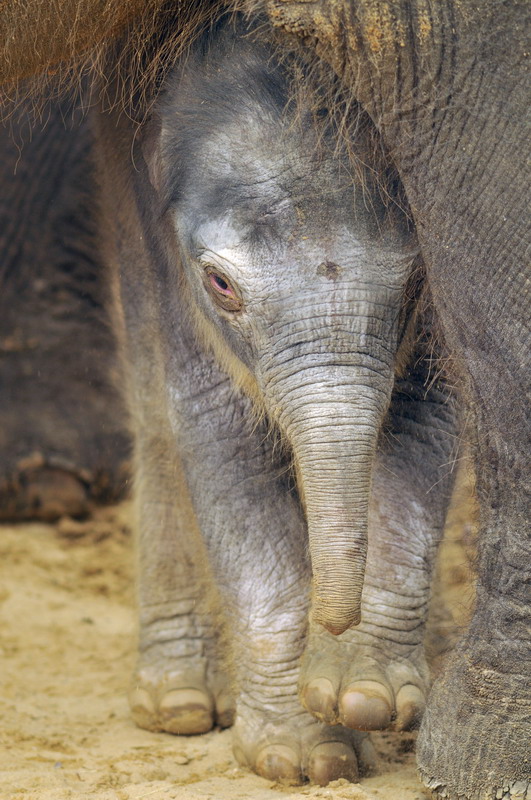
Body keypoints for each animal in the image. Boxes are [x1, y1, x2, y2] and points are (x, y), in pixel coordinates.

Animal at [0, 2, 529, 799]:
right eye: (221, 285)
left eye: (412, 283)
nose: (330, 630)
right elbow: (218, 427)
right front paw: (303, 755)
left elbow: (423, 416)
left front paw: (363, 694)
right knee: (156, 402)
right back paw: (180, 703)